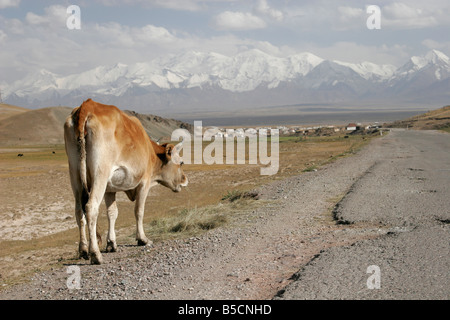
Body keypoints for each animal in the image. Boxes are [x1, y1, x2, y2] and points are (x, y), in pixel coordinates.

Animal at [64, 99, 187, 264]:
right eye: (181, 163)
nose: (185, 180)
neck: (150, 152)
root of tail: (87, 106)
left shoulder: (109, 189)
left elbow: (112, 213)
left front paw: (111, 243)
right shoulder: (144, 183)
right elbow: (139, 211)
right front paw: (142, 239)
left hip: (75, 175)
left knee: (79, 211)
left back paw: (83, 250)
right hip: (100, 174)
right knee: (91, 208)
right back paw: (95, 254)